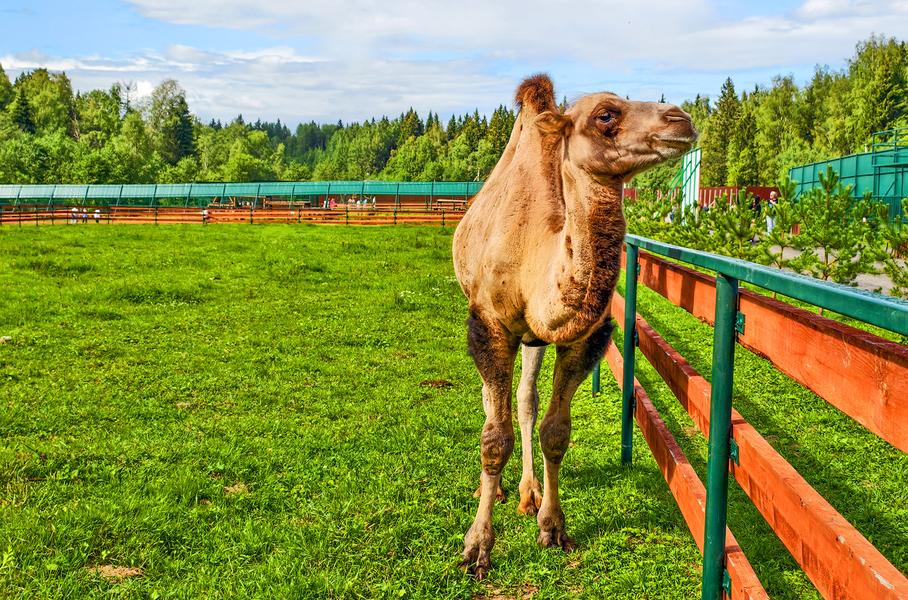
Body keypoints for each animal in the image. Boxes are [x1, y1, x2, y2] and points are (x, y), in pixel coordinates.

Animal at [452, 74, 697, 579]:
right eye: (606, 115)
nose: (681, 119)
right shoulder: (489, 326)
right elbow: (493, 438)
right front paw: (477, 547)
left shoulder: (584, 338)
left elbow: (555, 432)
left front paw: (552, 527)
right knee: (492, 403)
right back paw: (497, 489)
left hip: (534, 340)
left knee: (525, 399)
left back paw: (527, 491)